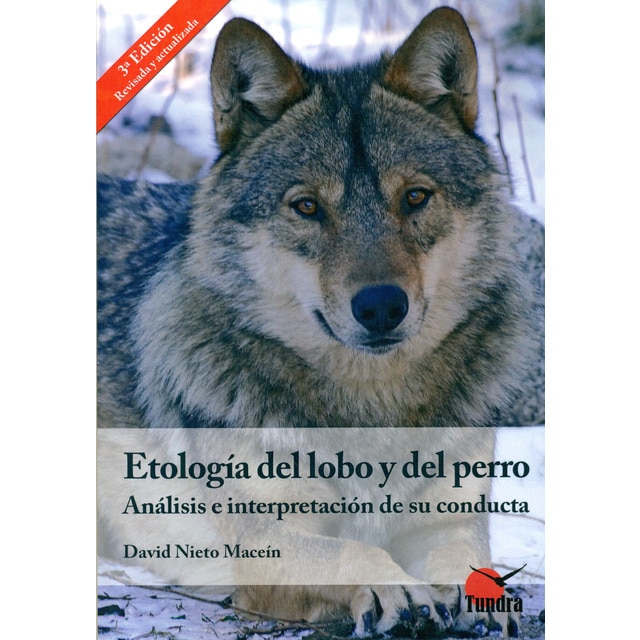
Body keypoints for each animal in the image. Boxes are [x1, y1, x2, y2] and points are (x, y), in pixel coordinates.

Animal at [98, 7, 544, 638]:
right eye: (307, 206)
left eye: (415, 197)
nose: (380, 306)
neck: (371, 415)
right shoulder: (267, 545)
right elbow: (352, 552)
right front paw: (396, 592)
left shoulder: (448, 520)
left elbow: (464, 559)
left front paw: (476, 599)